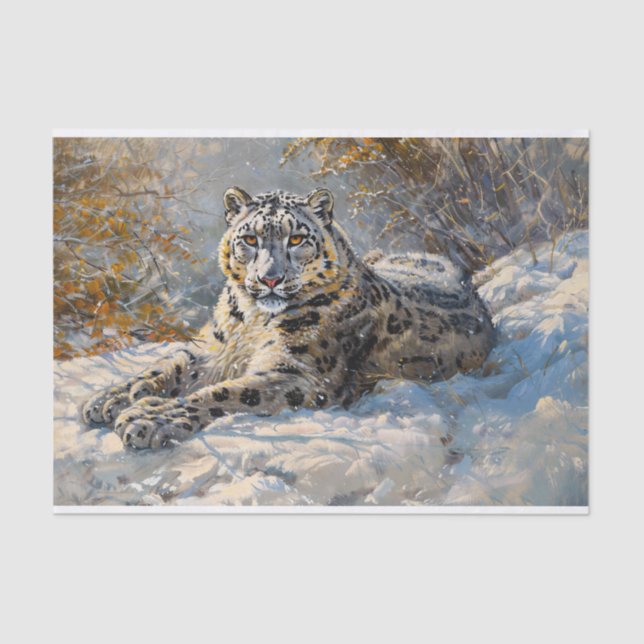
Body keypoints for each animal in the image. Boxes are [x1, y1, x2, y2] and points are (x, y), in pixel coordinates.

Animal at [82, 187, 495, 449]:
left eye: (296, 239)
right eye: (249, 239)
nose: (270, 278)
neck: (248, 319)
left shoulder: (298, 372)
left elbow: (225, 393)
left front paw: (148, 418)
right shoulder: (214, 348)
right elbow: (170, 363)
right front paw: (112, 396)